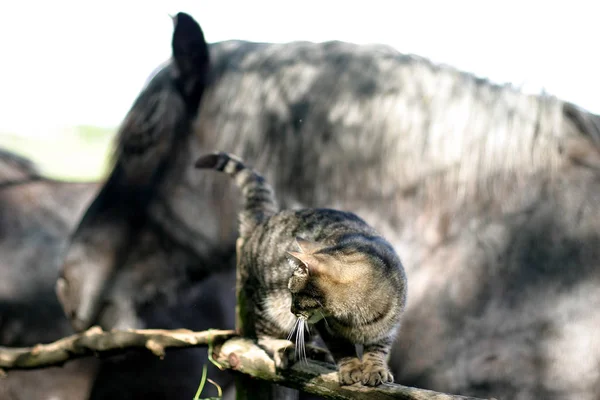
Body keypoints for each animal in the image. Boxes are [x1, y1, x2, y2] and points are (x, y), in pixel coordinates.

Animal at [193, 152, 408, 386]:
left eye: (294, 293)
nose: (292, 309)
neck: (356, 315)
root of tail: (263, 220)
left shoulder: (388, 329)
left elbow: (377, 350)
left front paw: (376, 368)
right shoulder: (328, 330)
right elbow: (343, 349)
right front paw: (351, 368)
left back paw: (313, 351)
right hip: (267, 307)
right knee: (264, 337)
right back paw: (286, 349)